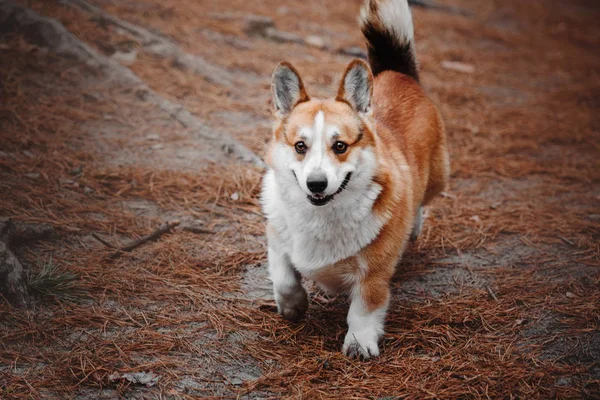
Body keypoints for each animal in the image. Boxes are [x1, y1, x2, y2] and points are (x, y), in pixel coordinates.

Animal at [260, 0, 448, 360]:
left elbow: (363, 308)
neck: (321, 216)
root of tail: (400, 74)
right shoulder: (277, 239)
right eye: (300, 146)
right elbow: (285, 276)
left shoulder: (373, 273)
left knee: (422, 199)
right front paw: (292, 306)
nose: (316, 184)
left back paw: (414, 225)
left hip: (437, 178)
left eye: (340, 146)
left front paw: (359, 343)